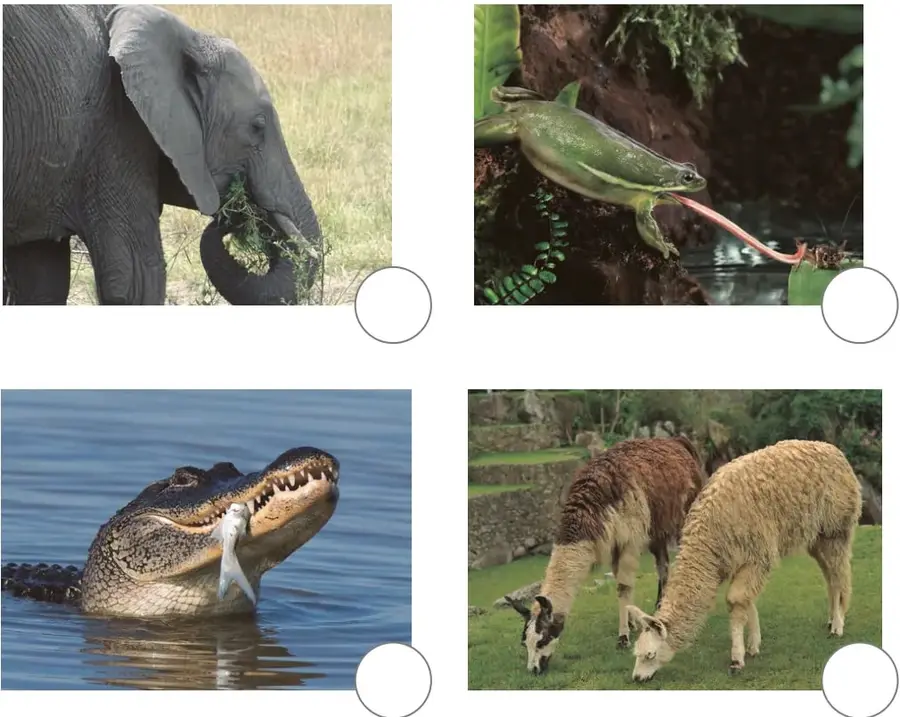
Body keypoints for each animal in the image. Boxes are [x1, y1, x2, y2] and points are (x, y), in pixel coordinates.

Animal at [2, 4, 322, 305]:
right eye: (258, 127)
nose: (235, 214)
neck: (189, 38)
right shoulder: (117, 131)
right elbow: (137, 282)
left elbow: (41, 282)